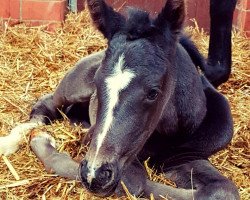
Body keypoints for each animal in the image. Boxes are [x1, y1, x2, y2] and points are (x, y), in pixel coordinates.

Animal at [0, 0, 239, 200]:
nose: (95, 174)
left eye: (153, 92)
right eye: (97, 82)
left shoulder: (183, 157)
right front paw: (43, 143)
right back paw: (13, 141)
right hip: (73, 87)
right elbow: (135, 183)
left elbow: (223, 190)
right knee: (45, 105)